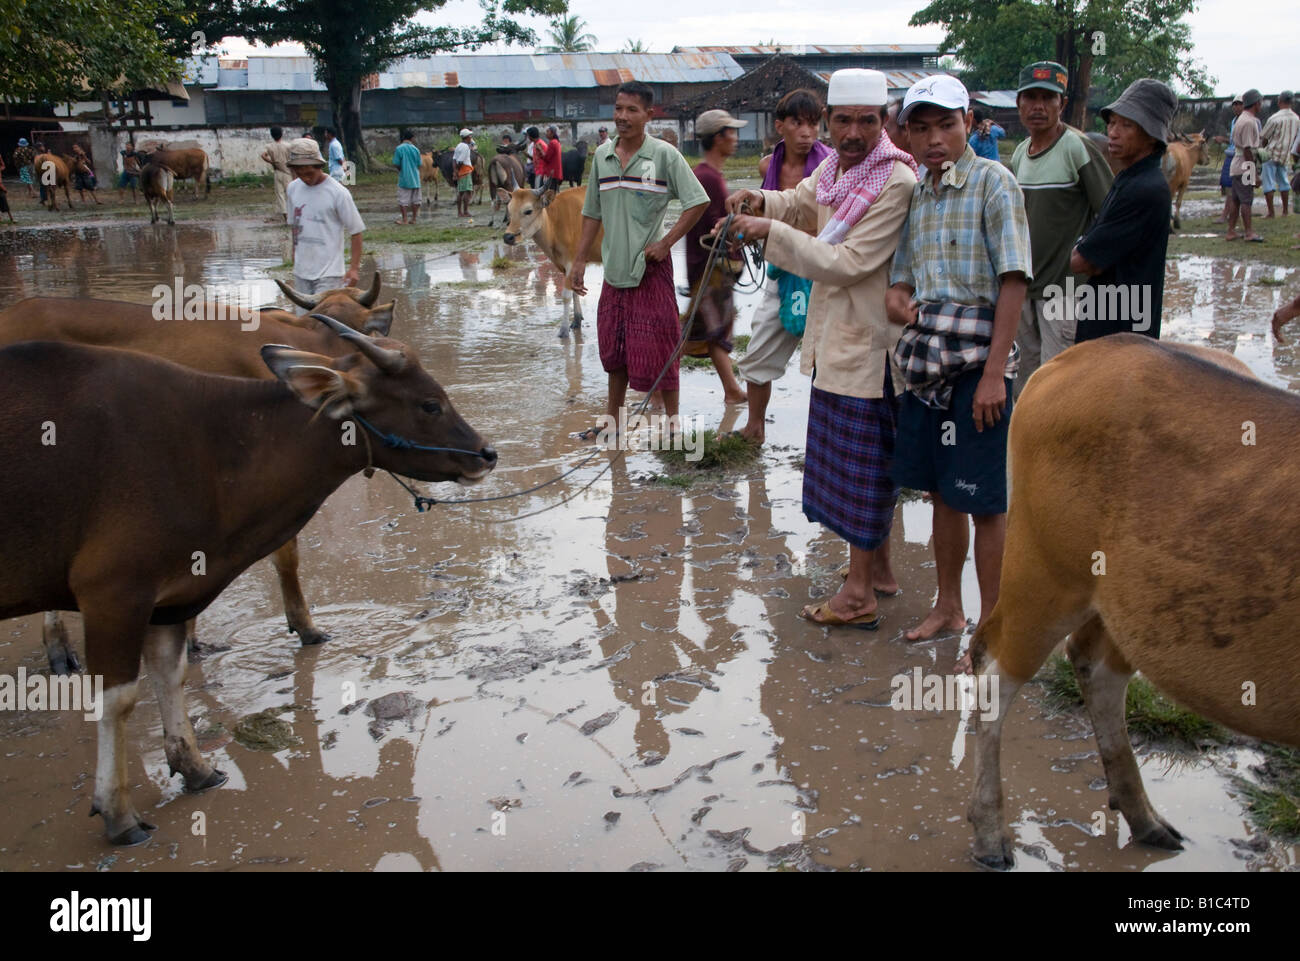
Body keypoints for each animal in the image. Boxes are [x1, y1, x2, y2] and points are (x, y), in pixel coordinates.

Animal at [0, 323, 493, 842]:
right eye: (430, 404)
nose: (487, 454)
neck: (215, 447)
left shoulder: (169, 597)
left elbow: (169, 675)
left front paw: (196, 768)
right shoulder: (114, 593)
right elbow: (117, 701)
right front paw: (118, 812)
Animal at [496, 184, 603, 338]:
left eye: (528, 211)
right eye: (509, 210)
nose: (508, 237)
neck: (555, 224)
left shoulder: (571, 261)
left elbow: (566, 296)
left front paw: (563, 330)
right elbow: (574, 292)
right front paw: (576, 320)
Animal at [961, 338, 1294, 873]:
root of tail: (1077, 356)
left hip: (1140, 608)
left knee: (1093, 666)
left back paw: (1142, 815)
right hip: (1047, 576)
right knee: (994, 669)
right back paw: (991, 832)